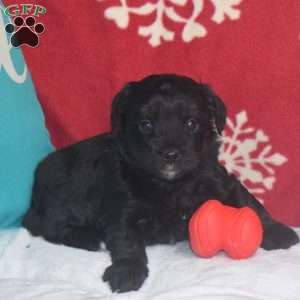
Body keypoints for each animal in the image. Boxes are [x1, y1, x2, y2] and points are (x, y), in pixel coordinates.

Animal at [22, 74, 298, 292]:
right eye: (146, 124)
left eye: (191, 123)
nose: (170, 154)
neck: (170, 184)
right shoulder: (122, 206)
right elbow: (126, 237)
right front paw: (127, 270)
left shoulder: (221, 181)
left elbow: (249, 202)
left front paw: (276, 231)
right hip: (66, 195)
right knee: (49, 227)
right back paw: (89, 238)